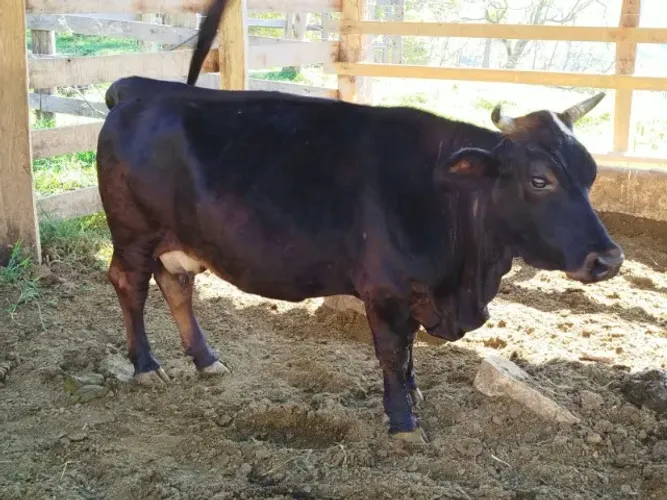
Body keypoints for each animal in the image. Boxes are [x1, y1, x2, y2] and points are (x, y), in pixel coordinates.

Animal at [96, 0, 624, 443]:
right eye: (540, 179)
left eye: (591, 173)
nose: (609, 259)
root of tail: (139, 86)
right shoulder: (386, 292)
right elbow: (392, 352)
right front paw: (404, 422)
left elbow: (410, 352)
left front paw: (413, 394)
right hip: (133, 233)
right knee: (130, 285)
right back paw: (146, 365)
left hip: (178, 238)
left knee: (176, 285)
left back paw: (206, 360)